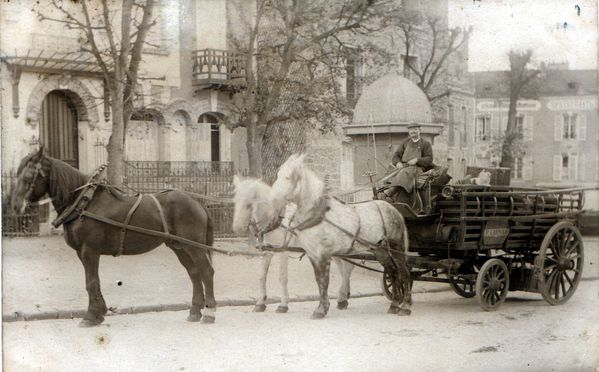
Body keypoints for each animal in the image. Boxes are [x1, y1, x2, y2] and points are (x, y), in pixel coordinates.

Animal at [11, 147, 217, 326]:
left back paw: (209, 313)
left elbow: (91, 281)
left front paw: (91, 316)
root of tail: (197, 202)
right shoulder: (82, 253)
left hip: (194, 246)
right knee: (194, 273)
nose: (16, 205)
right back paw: (195, 312)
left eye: (28, 175)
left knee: (206, 272)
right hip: (179, 246)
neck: (84, 203)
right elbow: (93, 282)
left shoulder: (89, 251)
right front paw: (99, 312)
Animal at [232, 176, 356, 312]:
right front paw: (260, 302)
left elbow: (282, 277)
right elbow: (262, 276)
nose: (237, 228)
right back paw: (344, 295)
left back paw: (342, 298)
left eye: (248, 204)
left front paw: (283, 305)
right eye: (235, 201)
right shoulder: (267, 252)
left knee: (347, 268)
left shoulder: (283, 251)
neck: (275, 220)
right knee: (344, 269)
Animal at [270, 153, 414, 318]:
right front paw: (323, 307)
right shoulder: (313, 254)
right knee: (393, 272)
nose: (272, 199)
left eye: (288, 177)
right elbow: (319, 280)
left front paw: (321, 309)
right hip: (380, 250)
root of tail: (393, 208)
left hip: (397, 247)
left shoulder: (324, 254)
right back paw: (394, 304)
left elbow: (324, 281)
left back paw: (405, 306)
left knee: (404, 273)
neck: (319, 215)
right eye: (278, 175)